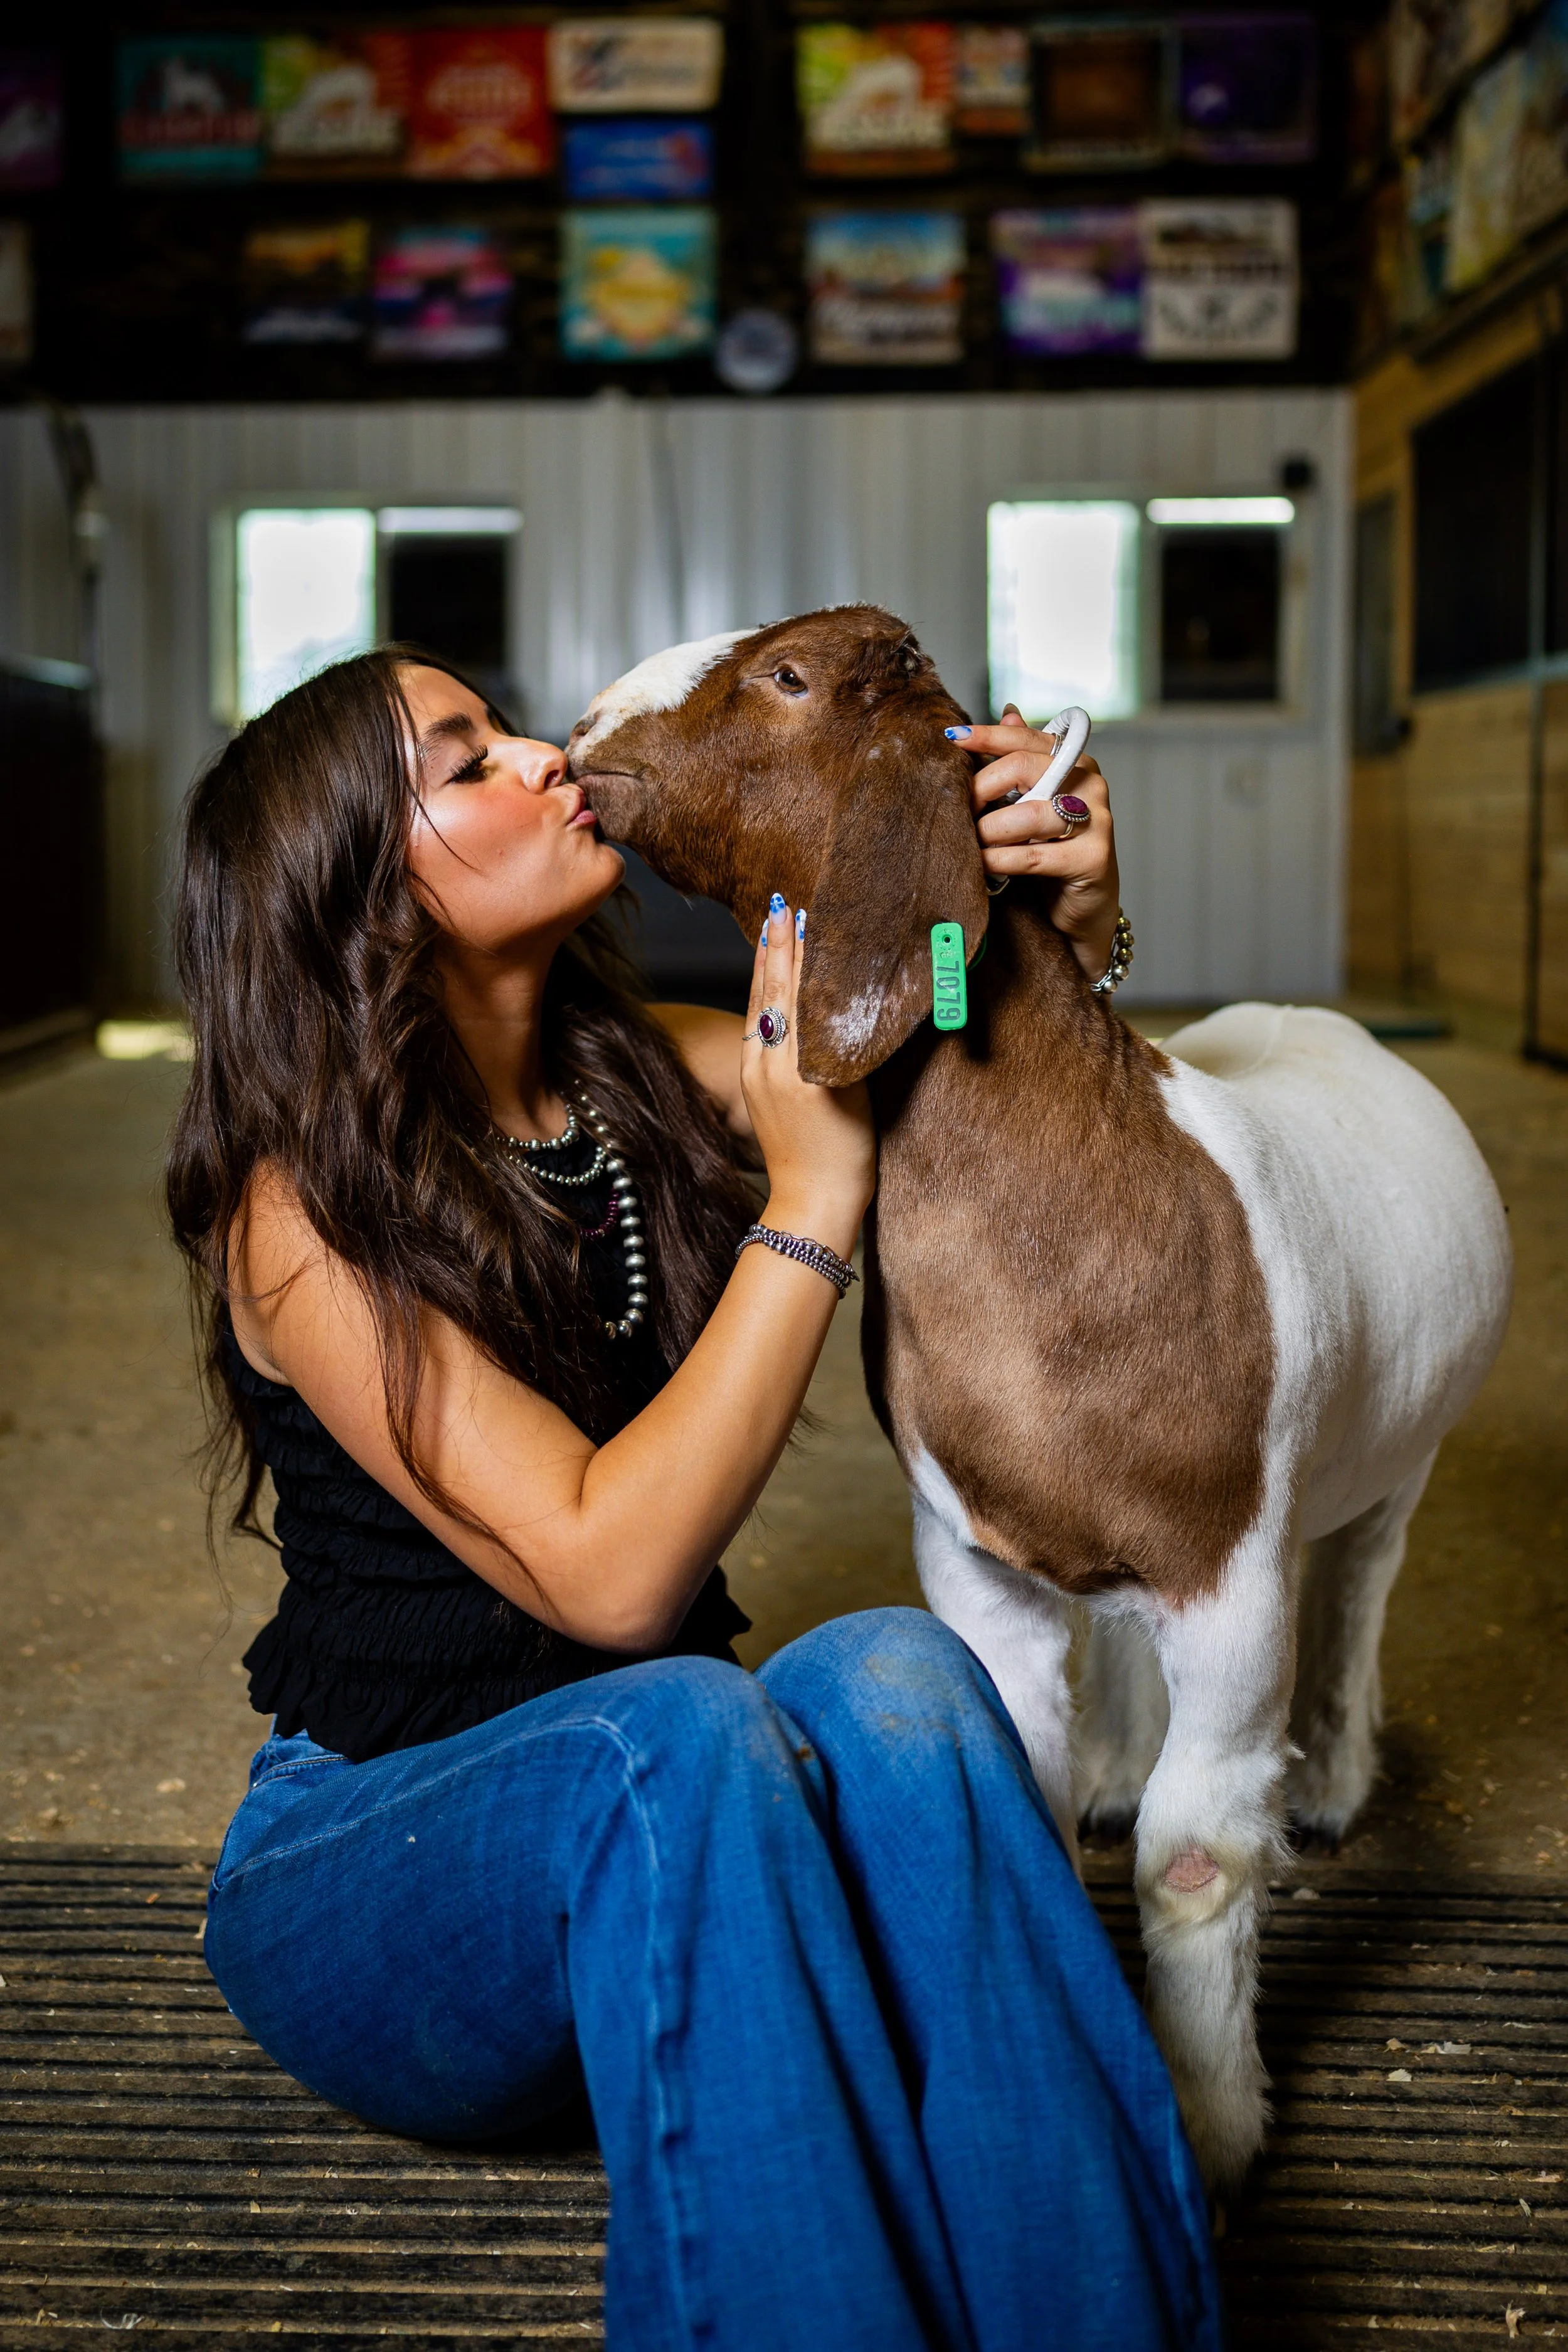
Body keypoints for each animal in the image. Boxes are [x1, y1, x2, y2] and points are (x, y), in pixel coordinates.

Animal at [567, 604, 1513, 2188]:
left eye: (788, 678)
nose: (581, 725)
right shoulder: (973, 1554)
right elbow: (1025, 1771)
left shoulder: (1231, 1574)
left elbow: (1196, 1849)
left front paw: (1212, 2117)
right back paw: (1129, 1753)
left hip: (1405, 1458)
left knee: (1361, 1588)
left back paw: (1330, 1780)